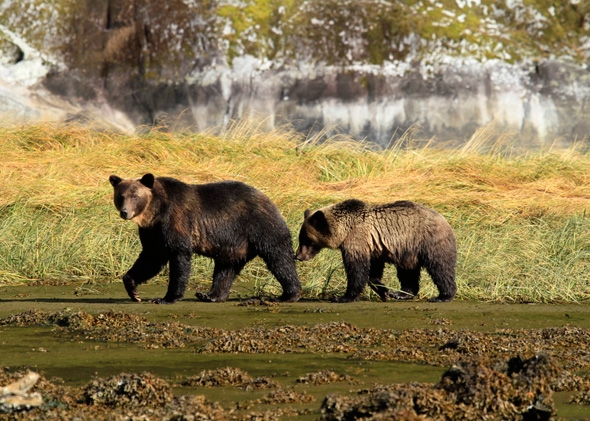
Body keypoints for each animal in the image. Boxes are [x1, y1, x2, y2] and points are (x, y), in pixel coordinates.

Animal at [109, 172, 302, 304]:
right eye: (120, 196)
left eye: (135, 196)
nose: (125, 212)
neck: (155, 211)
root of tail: (270, 200)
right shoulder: (152, 231)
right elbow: (151, 258)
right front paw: (134, 291)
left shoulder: (175, 220)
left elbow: (178, 256)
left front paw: (167, 297)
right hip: (234, 244)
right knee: (226, 268)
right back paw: (211, 295)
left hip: (260, 225)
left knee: (278, 257)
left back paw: (289, 294)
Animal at [296, 198, 458, 300]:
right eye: (301, 238)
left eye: (306, 240)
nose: (297, 256)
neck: (344, 230)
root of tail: (444, 219)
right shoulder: (374, 248)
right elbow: (373, 272)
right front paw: (384, 291)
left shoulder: (357, 239)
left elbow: (356, 269)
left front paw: (343, 297)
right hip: (408, 251)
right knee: (408, 272)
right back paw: (401, 294)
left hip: (428, 241)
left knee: (440, 267)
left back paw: (443, 296)